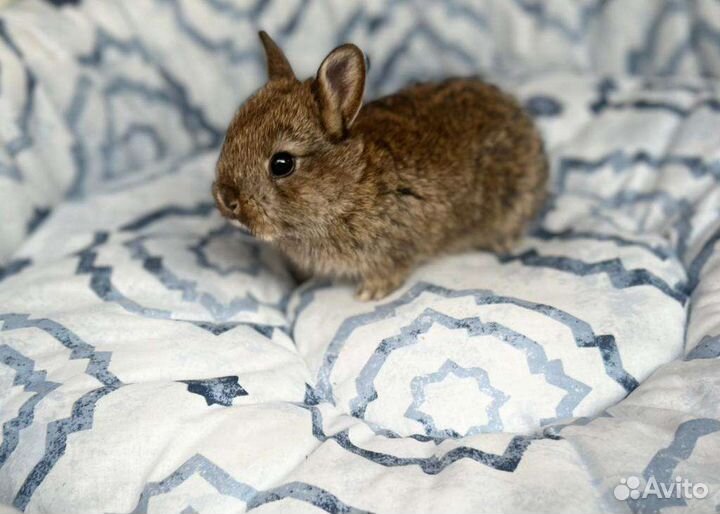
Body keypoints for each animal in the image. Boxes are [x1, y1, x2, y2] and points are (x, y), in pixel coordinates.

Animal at [213, 31, 548, 301]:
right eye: (229, 135)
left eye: (282, 164)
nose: (226, 199)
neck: (349, 186)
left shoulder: (396, 245)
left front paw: (369, 293)